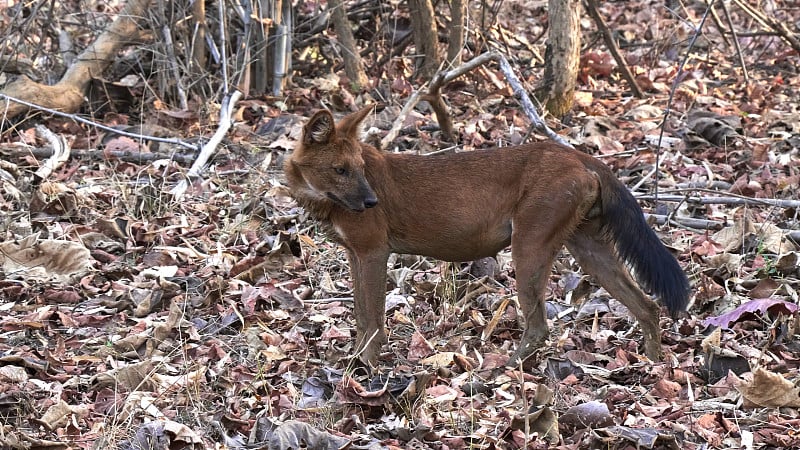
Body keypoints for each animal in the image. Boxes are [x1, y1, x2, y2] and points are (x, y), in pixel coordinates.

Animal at [284, 106, 692, 366]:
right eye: (340, 169)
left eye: (358, 168)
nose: (371, 201)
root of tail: (581, 156)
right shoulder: (354, 253)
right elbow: (359, 315)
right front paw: (352, 360)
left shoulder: (373, 252)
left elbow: (373, 321)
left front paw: (364, 370)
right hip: (588, 249)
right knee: (648, 305)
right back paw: (652, 366)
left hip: (528, 246)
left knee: (540, 326)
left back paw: (501, 370)